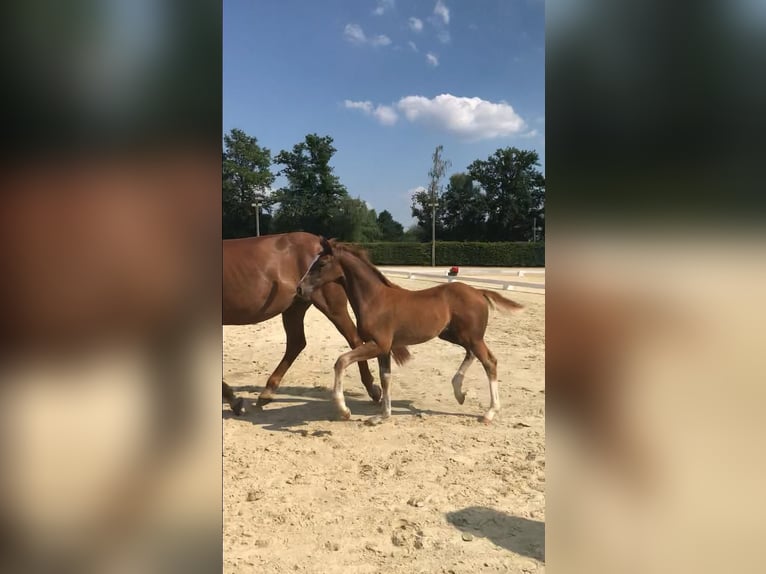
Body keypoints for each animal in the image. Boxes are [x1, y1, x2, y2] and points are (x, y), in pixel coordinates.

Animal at [296, 237, 524, 424]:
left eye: (321, 264)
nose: (299, 288)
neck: (374, 299)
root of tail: (478, 291)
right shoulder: (384, 348)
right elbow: (385, 377)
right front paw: (382, 415)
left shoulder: (378, 344)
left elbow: (341, 361)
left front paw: (344, 410)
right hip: (455, 335)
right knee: (471, 354)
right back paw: (459, 392)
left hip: (471, 337)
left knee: (489, 362)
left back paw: (489, 412)